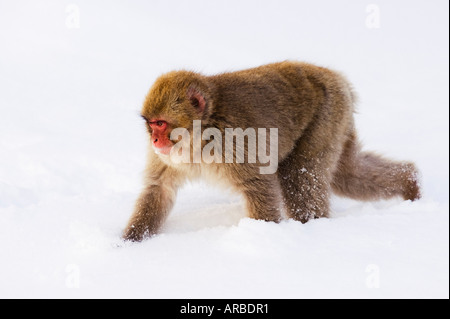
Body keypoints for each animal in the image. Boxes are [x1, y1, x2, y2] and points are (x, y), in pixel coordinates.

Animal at [121, 60, 420, 242]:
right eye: (151, 124)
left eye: (161, 123)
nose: (155, 140)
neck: (203, 131)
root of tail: (336, 77)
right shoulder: (166, 158)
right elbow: (159, 189)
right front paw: (129, 243)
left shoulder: (235, 141)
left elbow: (258, 187)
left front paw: (262, 236)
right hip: (339, 120)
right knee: (347, 174)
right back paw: (410, 181)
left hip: (328, 114)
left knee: (301, 177)